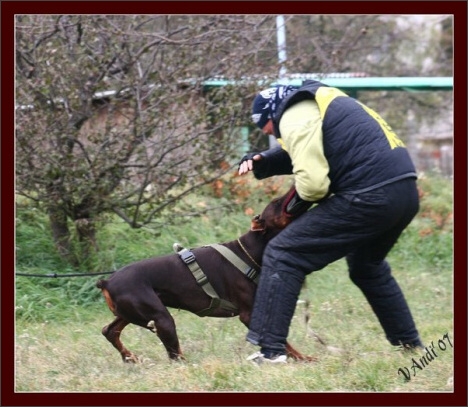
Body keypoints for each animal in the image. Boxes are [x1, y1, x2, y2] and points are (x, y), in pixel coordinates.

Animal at [96, 185, 312, 364]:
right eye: (276, 202)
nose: (295, 183)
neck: (250, 251)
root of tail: (107, 281)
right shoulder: (248, 313)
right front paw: (301, 358)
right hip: (160, 318)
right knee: (175, 357)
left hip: (130, 312)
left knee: (109, 330)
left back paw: (129, 357)